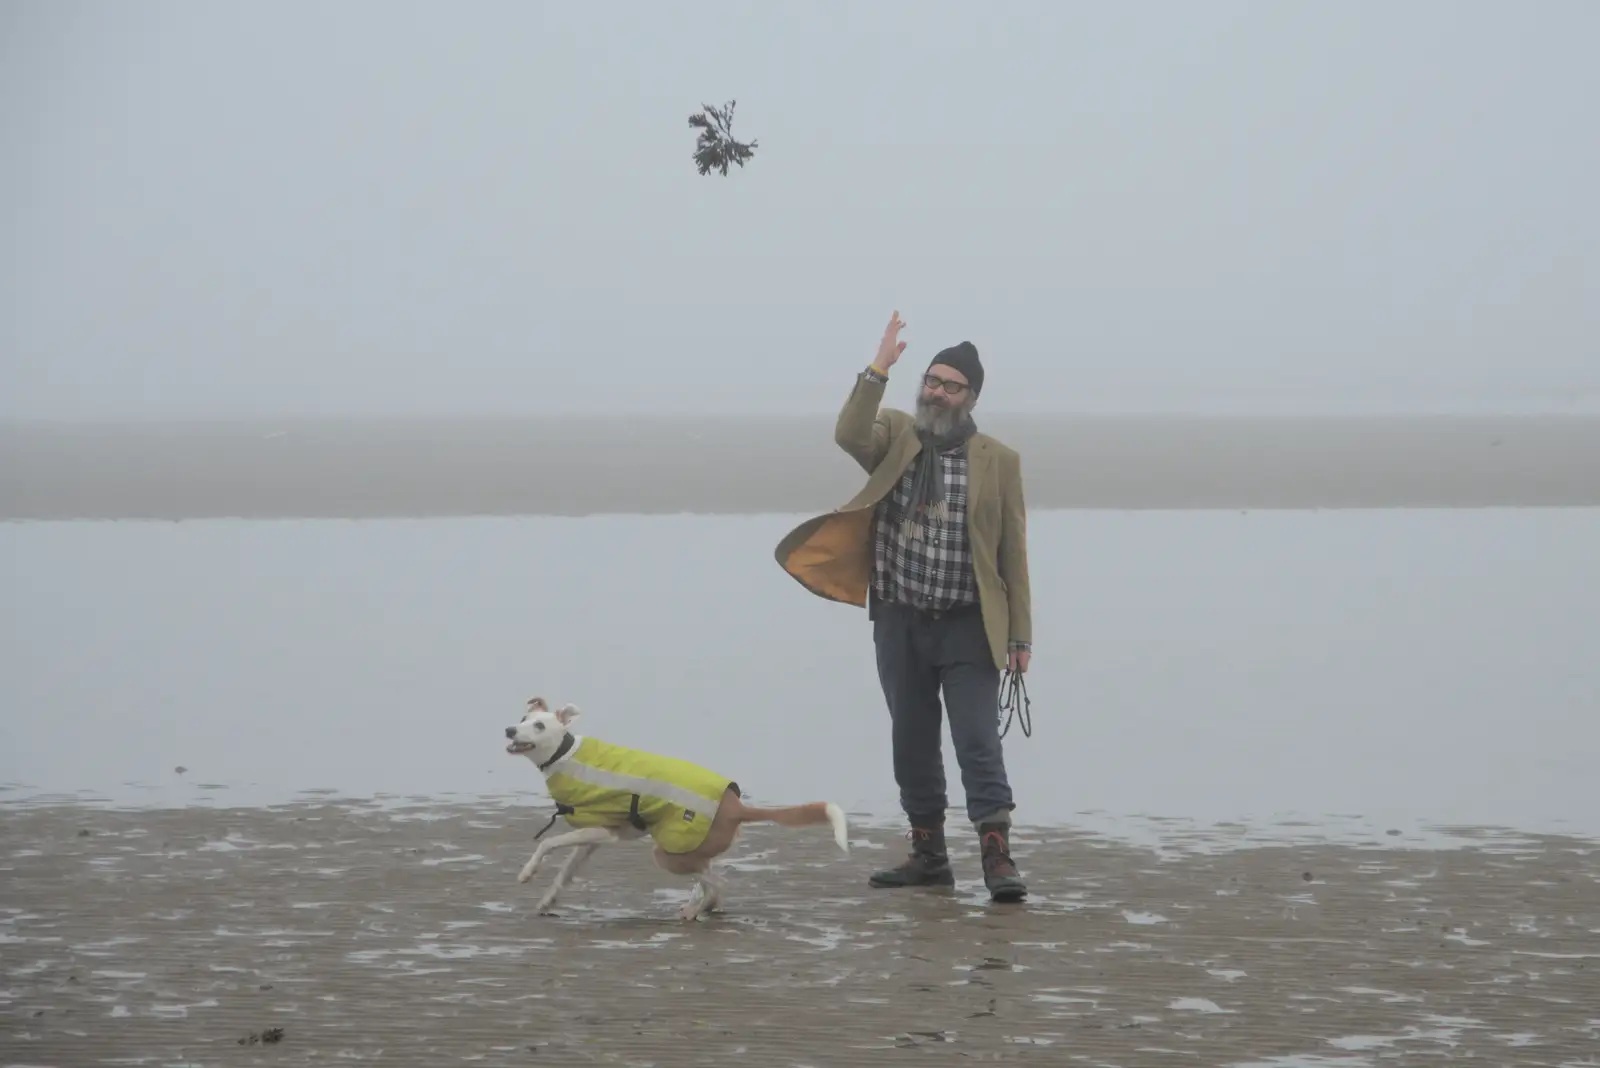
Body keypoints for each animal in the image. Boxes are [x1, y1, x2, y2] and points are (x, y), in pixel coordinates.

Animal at [502, 700, 851, 920]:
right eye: (522, 719)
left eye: (538, 725)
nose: (509, 730)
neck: (564, 754)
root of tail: (736, 805)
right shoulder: (592, 840)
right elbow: (565, 873)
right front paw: (547, 901)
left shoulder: (603, 830)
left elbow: (548, 843)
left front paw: (526, 873)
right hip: (693, 853)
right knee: (709, 882)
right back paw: (701, 907)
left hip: (668, 853)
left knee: (718, 883)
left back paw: (695, 911)